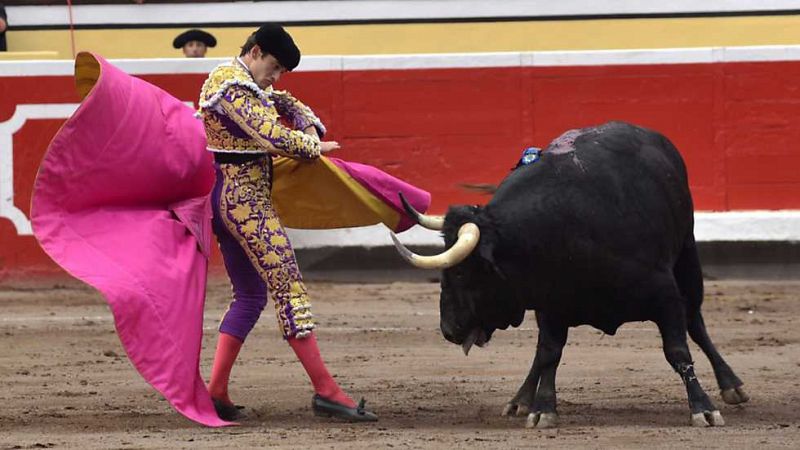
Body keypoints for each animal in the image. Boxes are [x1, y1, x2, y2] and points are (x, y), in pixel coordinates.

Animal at [394, 122, 752, 428]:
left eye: (463, 274)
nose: (448, 330)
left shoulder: (665, 295)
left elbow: (678, 350)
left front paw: (703, 408)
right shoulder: (551, 302)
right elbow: (549, 353)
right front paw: (542, 409)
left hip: (687, 257)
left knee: (696, 322)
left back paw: (731, 385)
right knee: (541, 352)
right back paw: (521, 399)